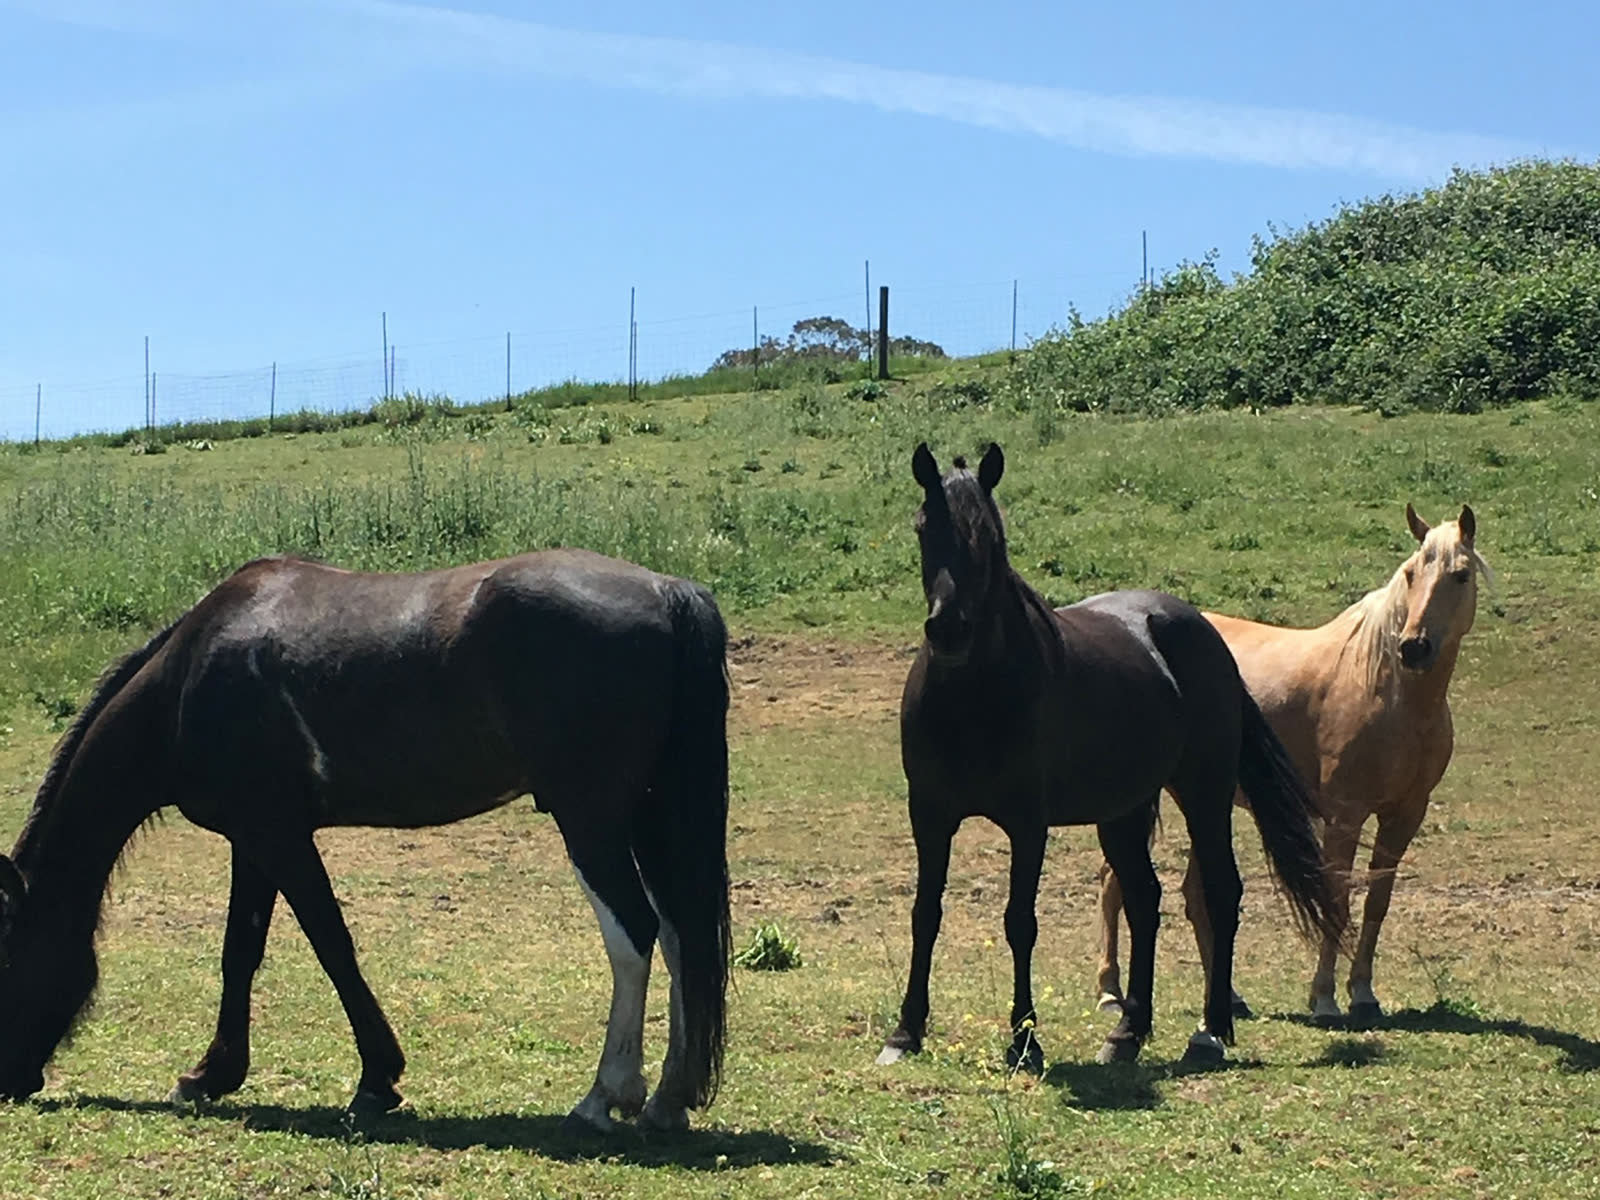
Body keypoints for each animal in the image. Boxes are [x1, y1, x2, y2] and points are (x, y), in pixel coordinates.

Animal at [0, 549, 732, 1133]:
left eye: (7, 958)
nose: (10, 1083)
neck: (189, 680)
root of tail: (667, 590)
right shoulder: (253, 839)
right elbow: (241, 954)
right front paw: (212, 1075)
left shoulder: (279, 836)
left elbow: (332, 947)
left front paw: (376, 1081)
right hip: (644, 817)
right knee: (679, 937)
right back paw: (668, 1099)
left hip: (590, 821)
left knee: (635, 934)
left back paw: (605, 1097)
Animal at [877, 442, 1341, 1072]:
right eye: (924, 527)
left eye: (990, 538)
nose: (949, 630)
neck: (973, 699)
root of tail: (1201, 630)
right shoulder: (928, 815)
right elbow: (924, 915)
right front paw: (905, 1031)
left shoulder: (1027, 824)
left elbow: (1020, 922)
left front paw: (1025, 1041)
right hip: (1123, 812)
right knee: (1145, 899)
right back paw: (1128, 1030)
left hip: (1204, 791)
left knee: (1222, 892)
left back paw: (1211, 1029)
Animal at [1097, 504, 1488, 1023]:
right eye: (1410, 574)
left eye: (1461, 575)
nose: (1414, 647)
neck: (1388, 690)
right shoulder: (1344, 814)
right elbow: (1336, 899)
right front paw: (1324, 998)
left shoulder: (1405, 815)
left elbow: (1377, 902)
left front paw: (1363, 993)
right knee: (1113, 882)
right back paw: (1108, 992)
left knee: (1194, 894)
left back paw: (1228, 998)